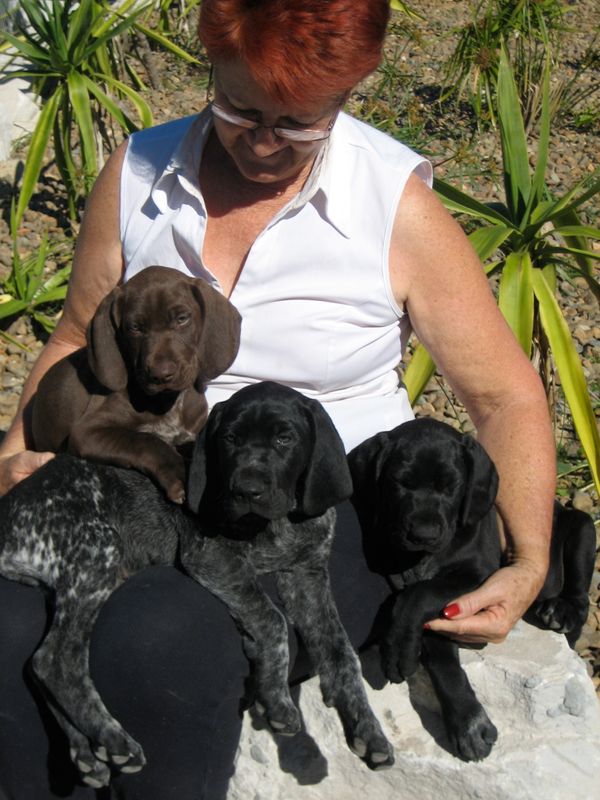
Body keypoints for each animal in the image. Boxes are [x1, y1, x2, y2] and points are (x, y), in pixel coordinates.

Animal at [31, 266, 240, 500]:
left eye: (182, 318)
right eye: (135, 328)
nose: (161, 375)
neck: (166, 402)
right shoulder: (86, 432)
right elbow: (145, 440)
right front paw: (179, 471)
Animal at [186, 384, 394, 772]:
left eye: (285, 438)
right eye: (230, 439)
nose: (246, 491)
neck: (277, 526)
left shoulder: (306, 578)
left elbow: (340, 650)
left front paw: (366, 724)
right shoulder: (213, 558)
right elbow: (273, 619)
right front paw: (276, 695)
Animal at [350, 418, 596, 764]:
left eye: (451, 486)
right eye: (400, 482)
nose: (424, 534)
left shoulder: (476, 576)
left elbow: (418, 596)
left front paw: (397, 648)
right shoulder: (426, 606)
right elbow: (440, 658)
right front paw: (467, 721)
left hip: (582, 526)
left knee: (580, 586)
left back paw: (563, 610)